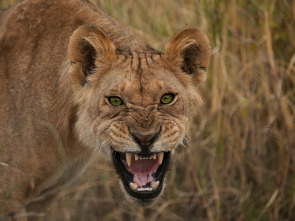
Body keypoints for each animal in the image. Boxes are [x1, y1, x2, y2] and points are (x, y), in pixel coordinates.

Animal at [0, 0, 210, 219]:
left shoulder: (40, 200)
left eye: (166, 98)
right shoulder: (9, 199)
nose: (145, 138)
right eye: (115, 101)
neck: (70, 139)